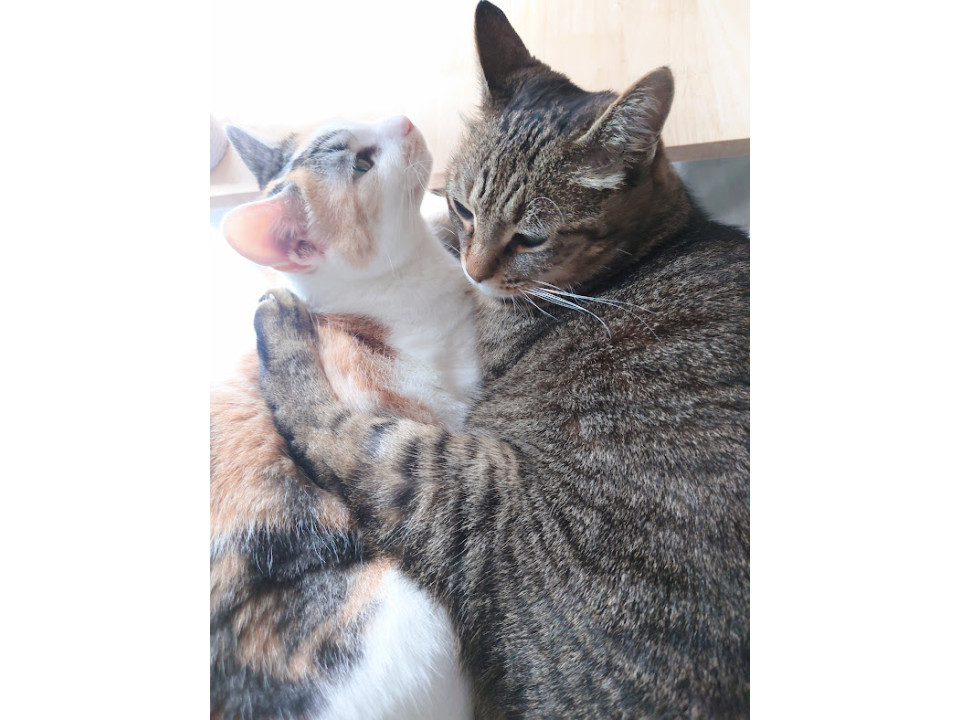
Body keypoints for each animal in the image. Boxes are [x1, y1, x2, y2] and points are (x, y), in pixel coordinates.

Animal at [251, 2, 750, 718]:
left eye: (531, 237)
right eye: (461, 204)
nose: (477, 268)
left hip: (470, 492)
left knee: (332, 432)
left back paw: (278, 320)